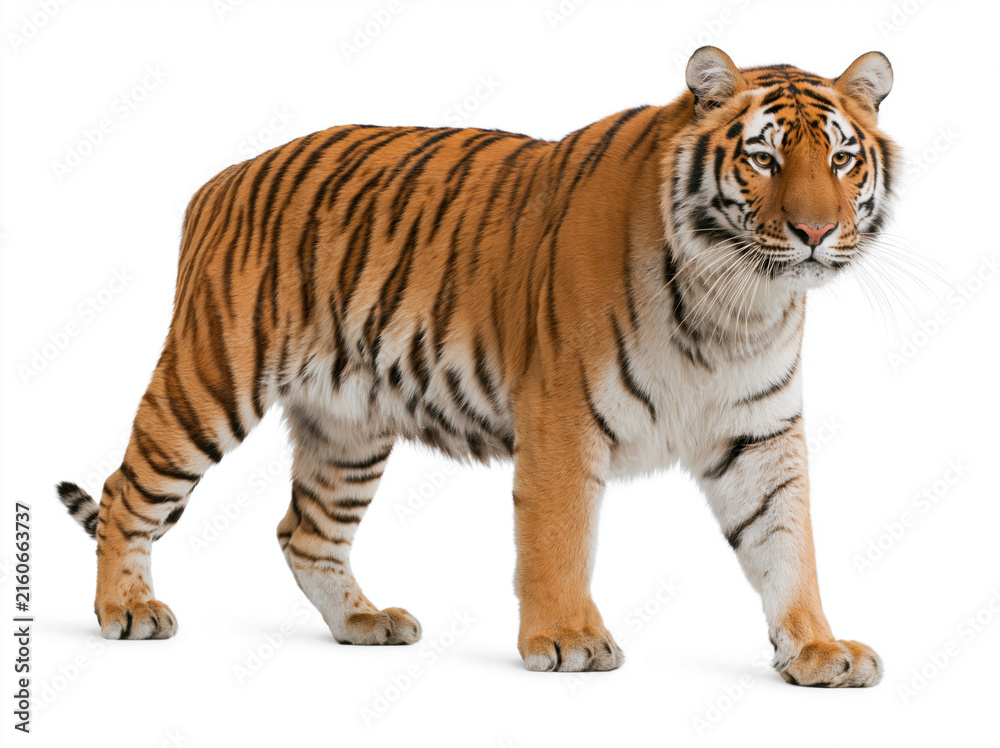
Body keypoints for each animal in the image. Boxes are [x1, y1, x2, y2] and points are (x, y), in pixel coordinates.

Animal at [57, 46, 897, 687]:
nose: (815, 231)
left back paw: (364, 621)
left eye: (842, 159)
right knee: (128, 488)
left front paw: (817, 648)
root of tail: (221, 178)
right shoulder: (563, 415)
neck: (738, 305)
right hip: (210, 380)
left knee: (306, 532)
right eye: (763, 158)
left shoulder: (760, 433)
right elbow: (559, 537)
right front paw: (568, 640)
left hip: (347, 428)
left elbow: (787, 542)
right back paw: (127, 610)